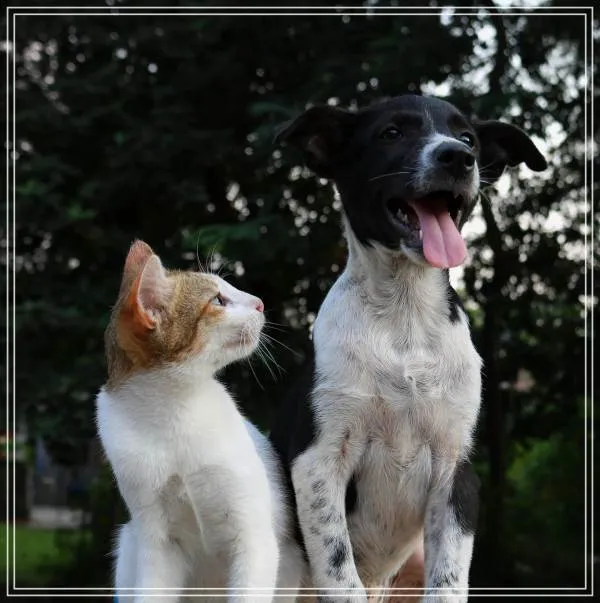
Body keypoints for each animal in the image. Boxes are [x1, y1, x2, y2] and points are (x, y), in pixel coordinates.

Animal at [96, 240, 304, 603]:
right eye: (217, 300)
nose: (260, 303)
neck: (174, 410)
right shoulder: (158, 543)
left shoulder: (254, 538)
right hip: (129, 543)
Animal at [269, 94, 547, 602]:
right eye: (392, 133)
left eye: (468, 137)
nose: (457, 158)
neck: (405, 319)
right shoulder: (318, 464)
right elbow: (339, 573)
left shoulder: (457, 473)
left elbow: (449, 581)